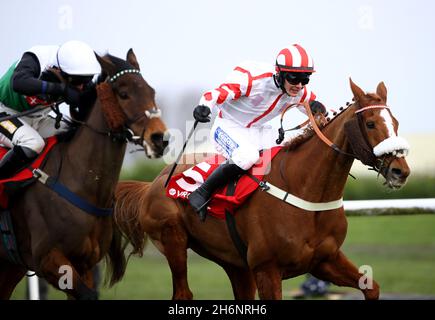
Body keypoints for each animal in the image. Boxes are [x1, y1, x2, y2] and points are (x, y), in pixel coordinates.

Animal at [0, 48, 169, 298]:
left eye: (151, 91)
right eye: (123, 94)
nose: (160, 139)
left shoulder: (85, 264)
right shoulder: (48, 260)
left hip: (10, 267)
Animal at [114, 79, 410, 298]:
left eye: (395, 123)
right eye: (370, 123)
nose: (401, 171)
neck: (306, 191)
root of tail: (152, 184)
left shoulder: (325, 260)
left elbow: (371, 287)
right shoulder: (268, 269)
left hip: (235, 264)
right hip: (173, 239)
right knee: (183, 294)